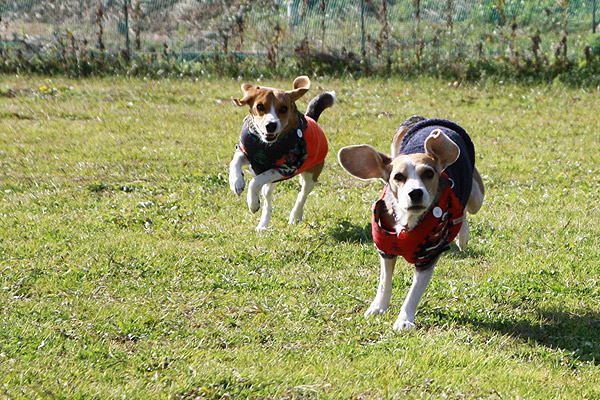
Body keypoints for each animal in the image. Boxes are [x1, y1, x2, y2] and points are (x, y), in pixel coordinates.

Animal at [229, 76, 336, 231]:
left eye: (284, 108)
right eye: (259, 107)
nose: (271, 125)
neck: (267, 147)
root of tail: (311, 118)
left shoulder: (286, 168)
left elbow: (255, 182)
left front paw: (252, 203)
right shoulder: (249, 154)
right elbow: (235, 160)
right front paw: (236, 181)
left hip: (311, 176)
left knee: (302, 194)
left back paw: (295, 216)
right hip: (270, 185)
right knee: (267, 202)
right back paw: (263, 225)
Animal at [338, 115, 482, 332]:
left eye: (429, 173)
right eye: (398, 177)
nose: (415, 192)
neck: (408, 223)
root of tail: (427, 120)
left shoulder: (428, 256)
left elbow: (413, 293)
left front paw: (404, 320)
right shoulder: (385, 249)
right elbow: (384, 281)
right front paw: (378, 306)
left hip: (475, 197)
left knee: (464, 207)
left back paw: (463, 236)